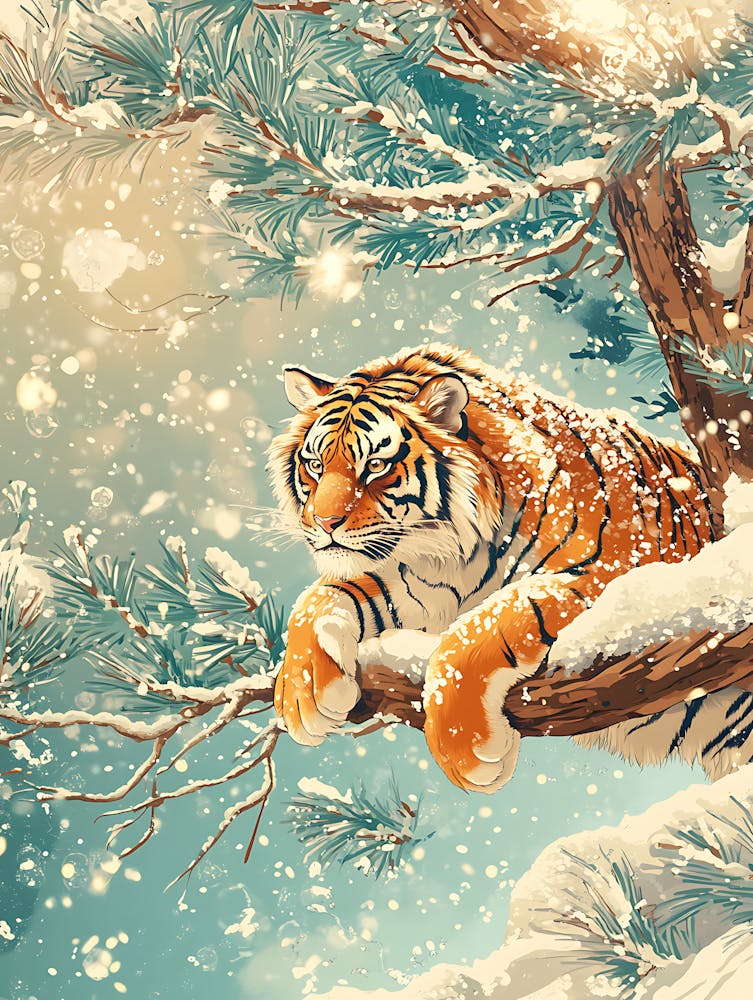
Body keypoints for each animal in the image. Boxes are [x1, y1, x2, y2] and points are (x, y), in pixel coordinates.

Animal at [269, 343, 717, 792]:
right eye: (315, 465)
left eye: (376, 465)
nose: (323, 522)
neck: (449, 551)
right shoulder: (412, 581)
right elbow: (321, 596)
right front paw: (301, 695)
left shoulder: (608, 574)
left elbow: (486, 624)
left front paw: (466, 749)